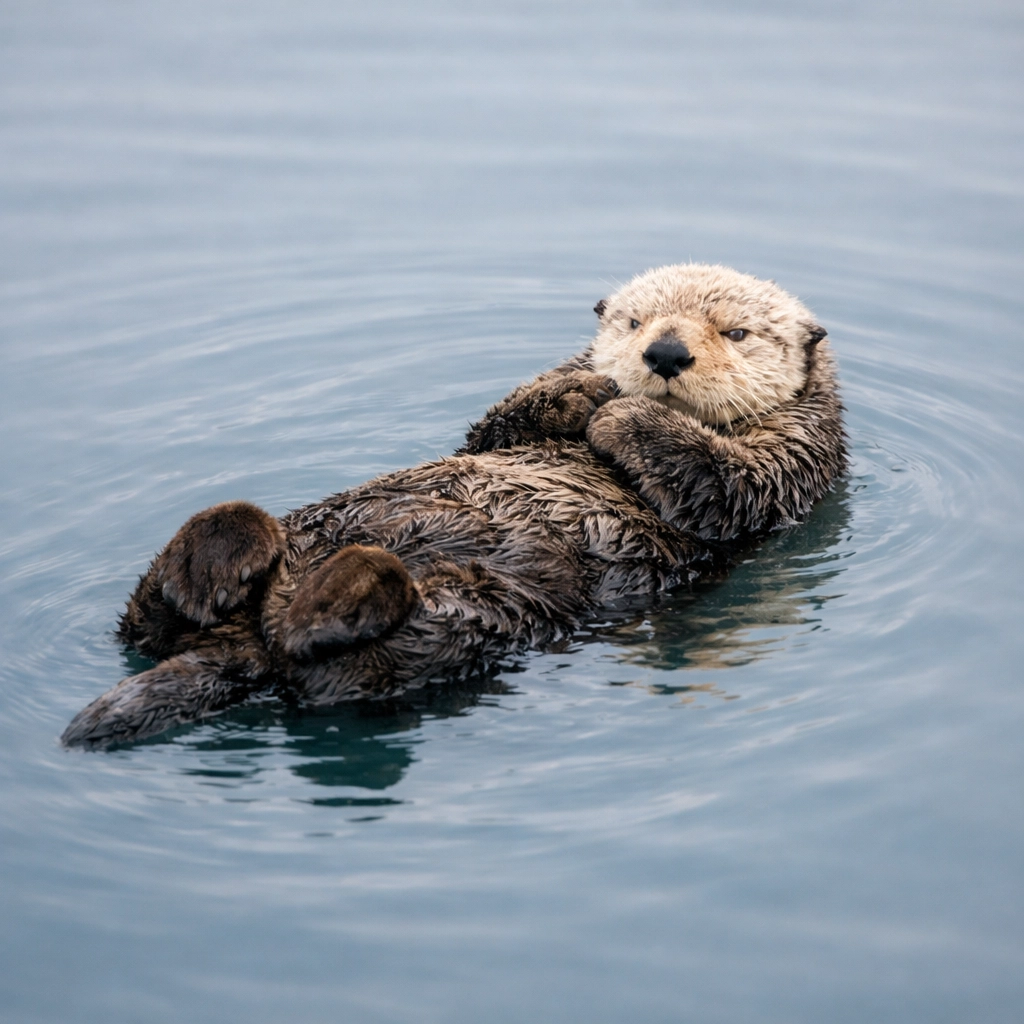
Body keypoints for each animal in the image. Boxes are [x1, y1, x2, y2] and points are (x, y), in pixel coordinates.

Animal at [61, 264, 846, 749]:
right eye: (633, 322)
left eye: (736, 333)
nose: (666, 353)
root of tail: (246, 637)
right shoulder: (503, 425)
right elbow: (496, 426)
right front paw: (583, 394)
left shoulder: (796, 459)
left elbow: (725, 484)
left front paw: (623, 416)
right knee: (154, 616)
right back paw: (216, 555)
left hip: (456, 622)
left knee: (322, 660)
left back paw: (339, 589)